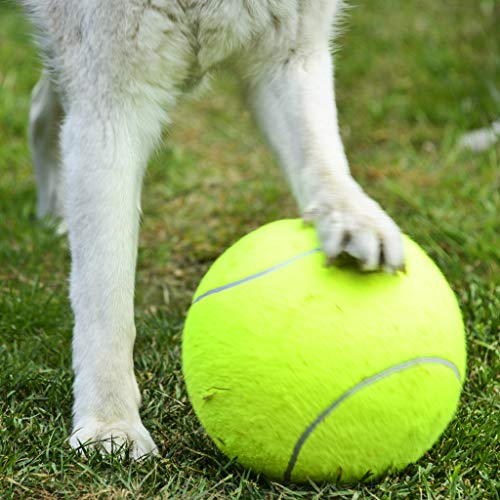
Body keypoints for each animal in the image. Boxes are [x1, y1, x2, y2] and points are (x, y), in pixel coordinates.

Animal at [23, 0, 406, 458]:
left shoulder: (289, 54)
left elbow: (321, 157)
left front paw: (353, 218)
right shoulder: (112, 100)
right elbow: (106, 298)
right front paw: (110, 425)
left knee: (42, 106)